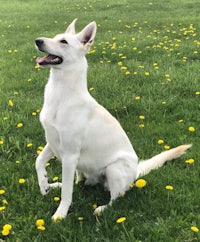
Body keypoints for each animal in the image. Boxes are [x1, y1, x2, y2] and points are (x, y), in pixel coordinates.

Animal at [35, 18, 191, 219]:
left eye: (63, 42)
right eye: (54, 37)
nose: (38, 41)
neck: (61, 94)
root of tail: (136, 172)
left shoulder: (69, 155)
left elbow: (67, 193)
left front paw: (60, 214)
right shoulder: (52, 142)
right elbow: (39, 161)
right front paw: (44, 185)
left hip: (113, 169)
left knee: (117, 196)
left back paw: (102, 208)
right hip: (82, 170)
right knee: (78, 182)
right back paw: (56, 184)